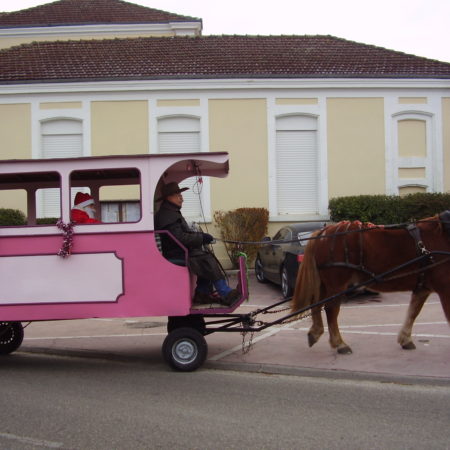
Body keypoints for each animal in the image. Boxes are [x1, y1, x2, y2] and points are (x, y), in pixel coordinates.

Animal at [292, 213, 450, 354]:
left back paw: (316, 333)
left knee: (316, 304)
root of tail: (323, 232)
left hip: (325, 284)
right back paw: (340, 344)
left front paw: (405, 339)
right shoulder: (445, 289)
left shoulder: (422, 287)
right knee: (330, 309)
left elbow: (413, 312)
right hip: (336, 285)